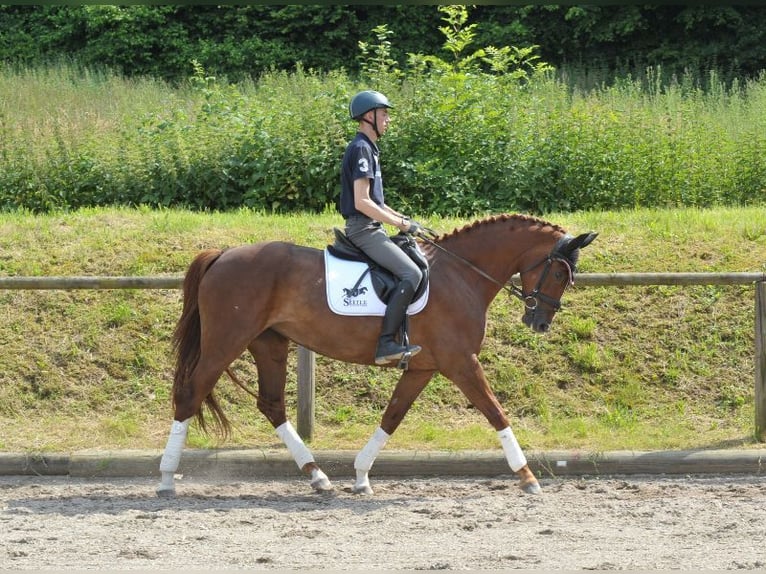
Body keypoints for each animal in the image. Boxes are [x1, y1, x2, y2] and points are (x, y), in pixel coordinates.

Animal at [158, 214, 600, 498]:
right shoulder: (461, 363)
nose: (539, 322)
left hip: (269, 343)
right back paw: (165, 479)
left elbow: (393, 416)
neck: (463, 275)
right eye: (560, 273)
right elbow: (496, 412)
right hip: (225, 342)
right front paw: (527, 476)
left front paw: (361, 476)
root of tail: (223, 254)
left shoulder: (424, 367)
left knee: (271, 404)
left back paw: (318, 477)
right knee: (190, 394)